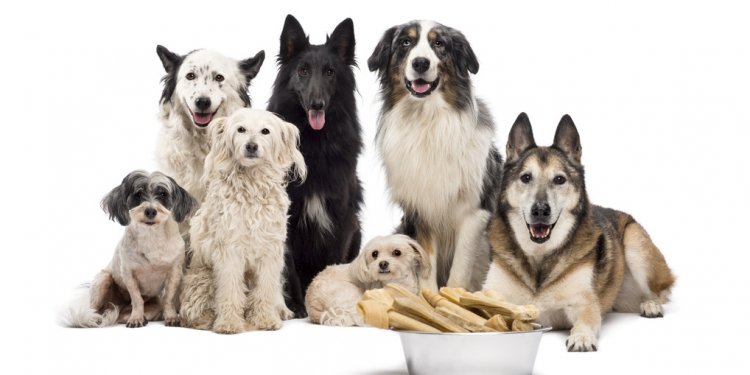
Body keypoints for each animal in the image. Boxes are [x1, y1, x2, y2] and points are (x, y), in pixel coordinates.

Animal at [63, 172, 197, 328]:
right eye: (138, 194)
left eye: (163, 194)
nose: (150, 211)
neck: (151, 237)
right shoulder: (128, 274)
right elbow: (137, 299)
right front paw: (136, 318)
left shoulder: (174, 272)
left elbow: (168, 298)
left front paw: (170, 317)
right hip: (102, 280)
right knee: (95, 309)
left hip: (154, 304)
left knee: (122, 315)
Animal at [181, 108, 306, 334]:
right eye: (241, 129)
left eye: (265, 131)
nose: (251, 146)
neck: (252, 185)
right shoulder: (229, 252)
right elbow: (230, 290)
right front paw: (229, 323)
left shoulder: (270, 253)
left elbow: (265, 289)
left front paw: (266, 319)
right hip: (202, 278)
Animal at [268, 15, 366, 320]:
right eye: (303, 71)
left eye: (330, 72)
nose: (317, 104)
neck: (315, 145)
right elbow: (290, 269)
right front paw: (298, 307)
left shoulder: (341, 218)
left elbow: (332, 264)